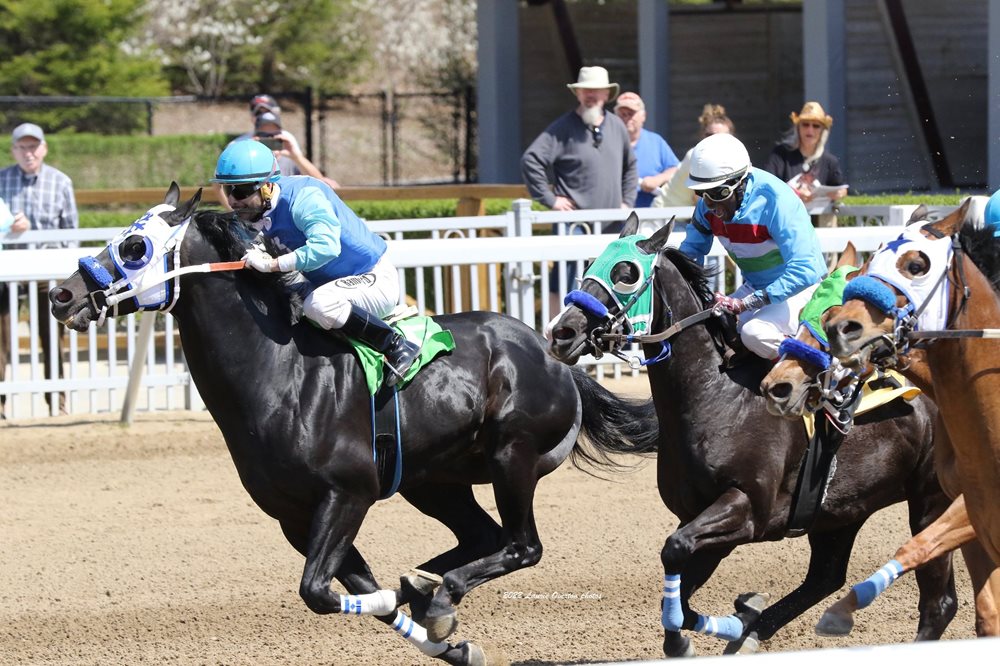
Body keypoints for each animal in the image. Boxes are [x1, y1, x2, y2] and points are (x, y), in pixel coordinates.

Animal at [47, 183, 660, 664]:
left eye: (135, 246)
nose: (61, 294)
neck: (280, 374)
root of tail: (553, 353)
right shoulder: (295, 516)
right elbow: (353, 586)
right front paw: (448, 639)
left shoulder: (348, 493)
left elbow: (318, 591)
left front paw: (420, 606)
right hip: (432, 481)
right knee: (483, 537)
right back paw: (426, 584)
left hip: (513, 458)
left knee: (522, 546)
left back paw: (439, 587)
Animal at [548, 214, 960, 652]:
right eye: (591, 264)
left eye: (626, 273)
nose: (562, 333)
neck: (718, 394)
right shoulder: (698, 517)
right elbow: (679, 583)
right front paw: (734, 620)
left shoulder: (747, 509)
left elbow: (673, 551)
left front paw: (699, 636)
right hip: (843, 509)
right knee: (825, 577)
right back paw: (757, 630)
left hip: (928, 499)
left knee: (939, 602)